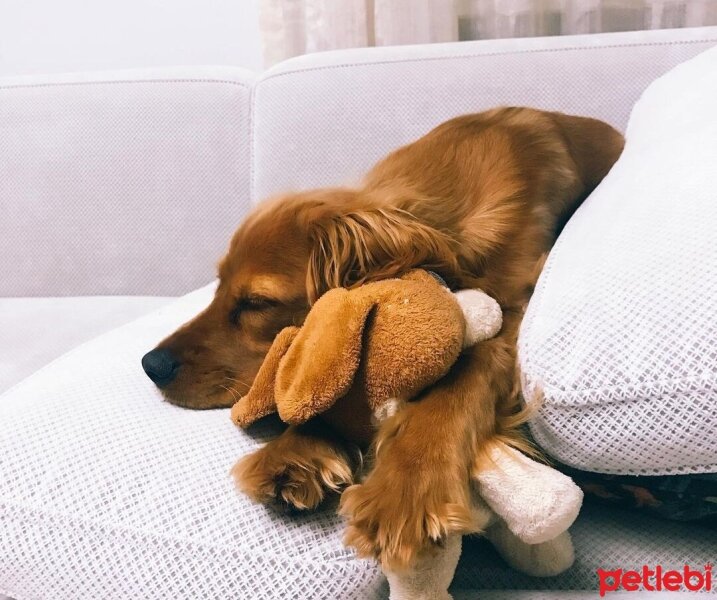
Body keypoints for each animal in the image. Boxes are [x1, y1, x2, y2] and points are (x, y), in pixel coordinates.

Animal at [141, 105, 620, 568]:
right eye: (218, 286)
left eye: (256, 302)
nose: (151, 365)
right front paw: (295, 452)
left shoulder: (516, 308)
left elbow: (463, 374)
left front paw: (406, 487)